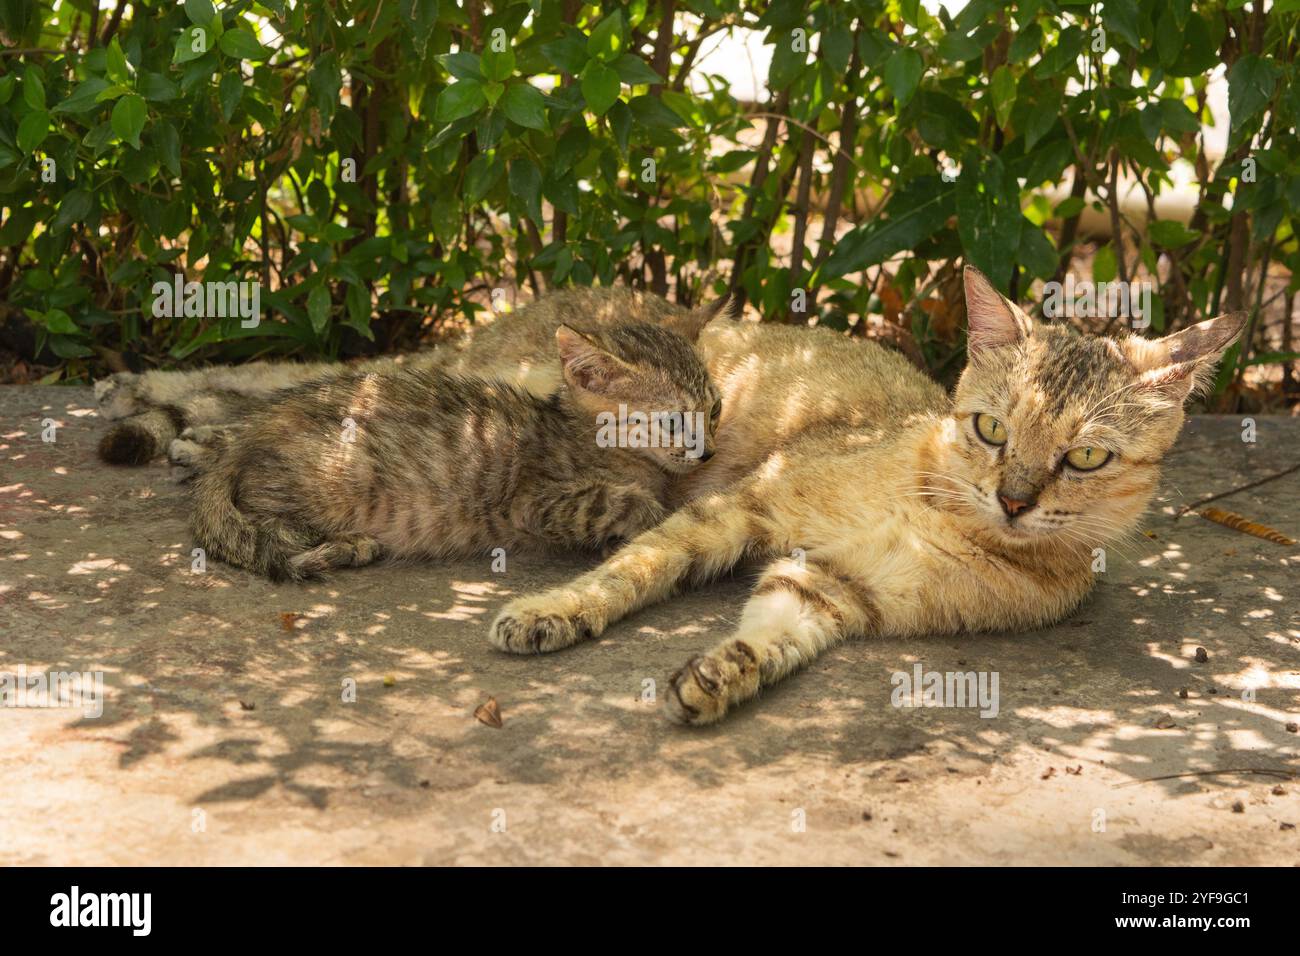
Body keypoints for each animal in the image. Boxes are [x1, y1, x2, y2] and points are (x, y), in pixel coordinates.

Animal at [189, 316, 728, 582]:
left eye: (716, 409)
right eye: (673, 421)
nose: (707, 453)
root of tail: (256, 428)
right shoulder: (533, 500)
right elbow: (617, 501)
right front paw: (651, 514)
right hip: (330, 481)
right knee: (264, 529)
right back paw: (349, 545)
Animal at [488, 267, 1248, 723]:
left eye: (1086, 456)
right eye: (992, 428)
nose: (1013, 501)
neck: (938, 513)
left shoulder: (838, 583)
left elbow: (772, 630)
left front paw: (722, 673)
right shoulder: (744, 504)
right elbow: (634, 566)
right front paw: (551, 610)